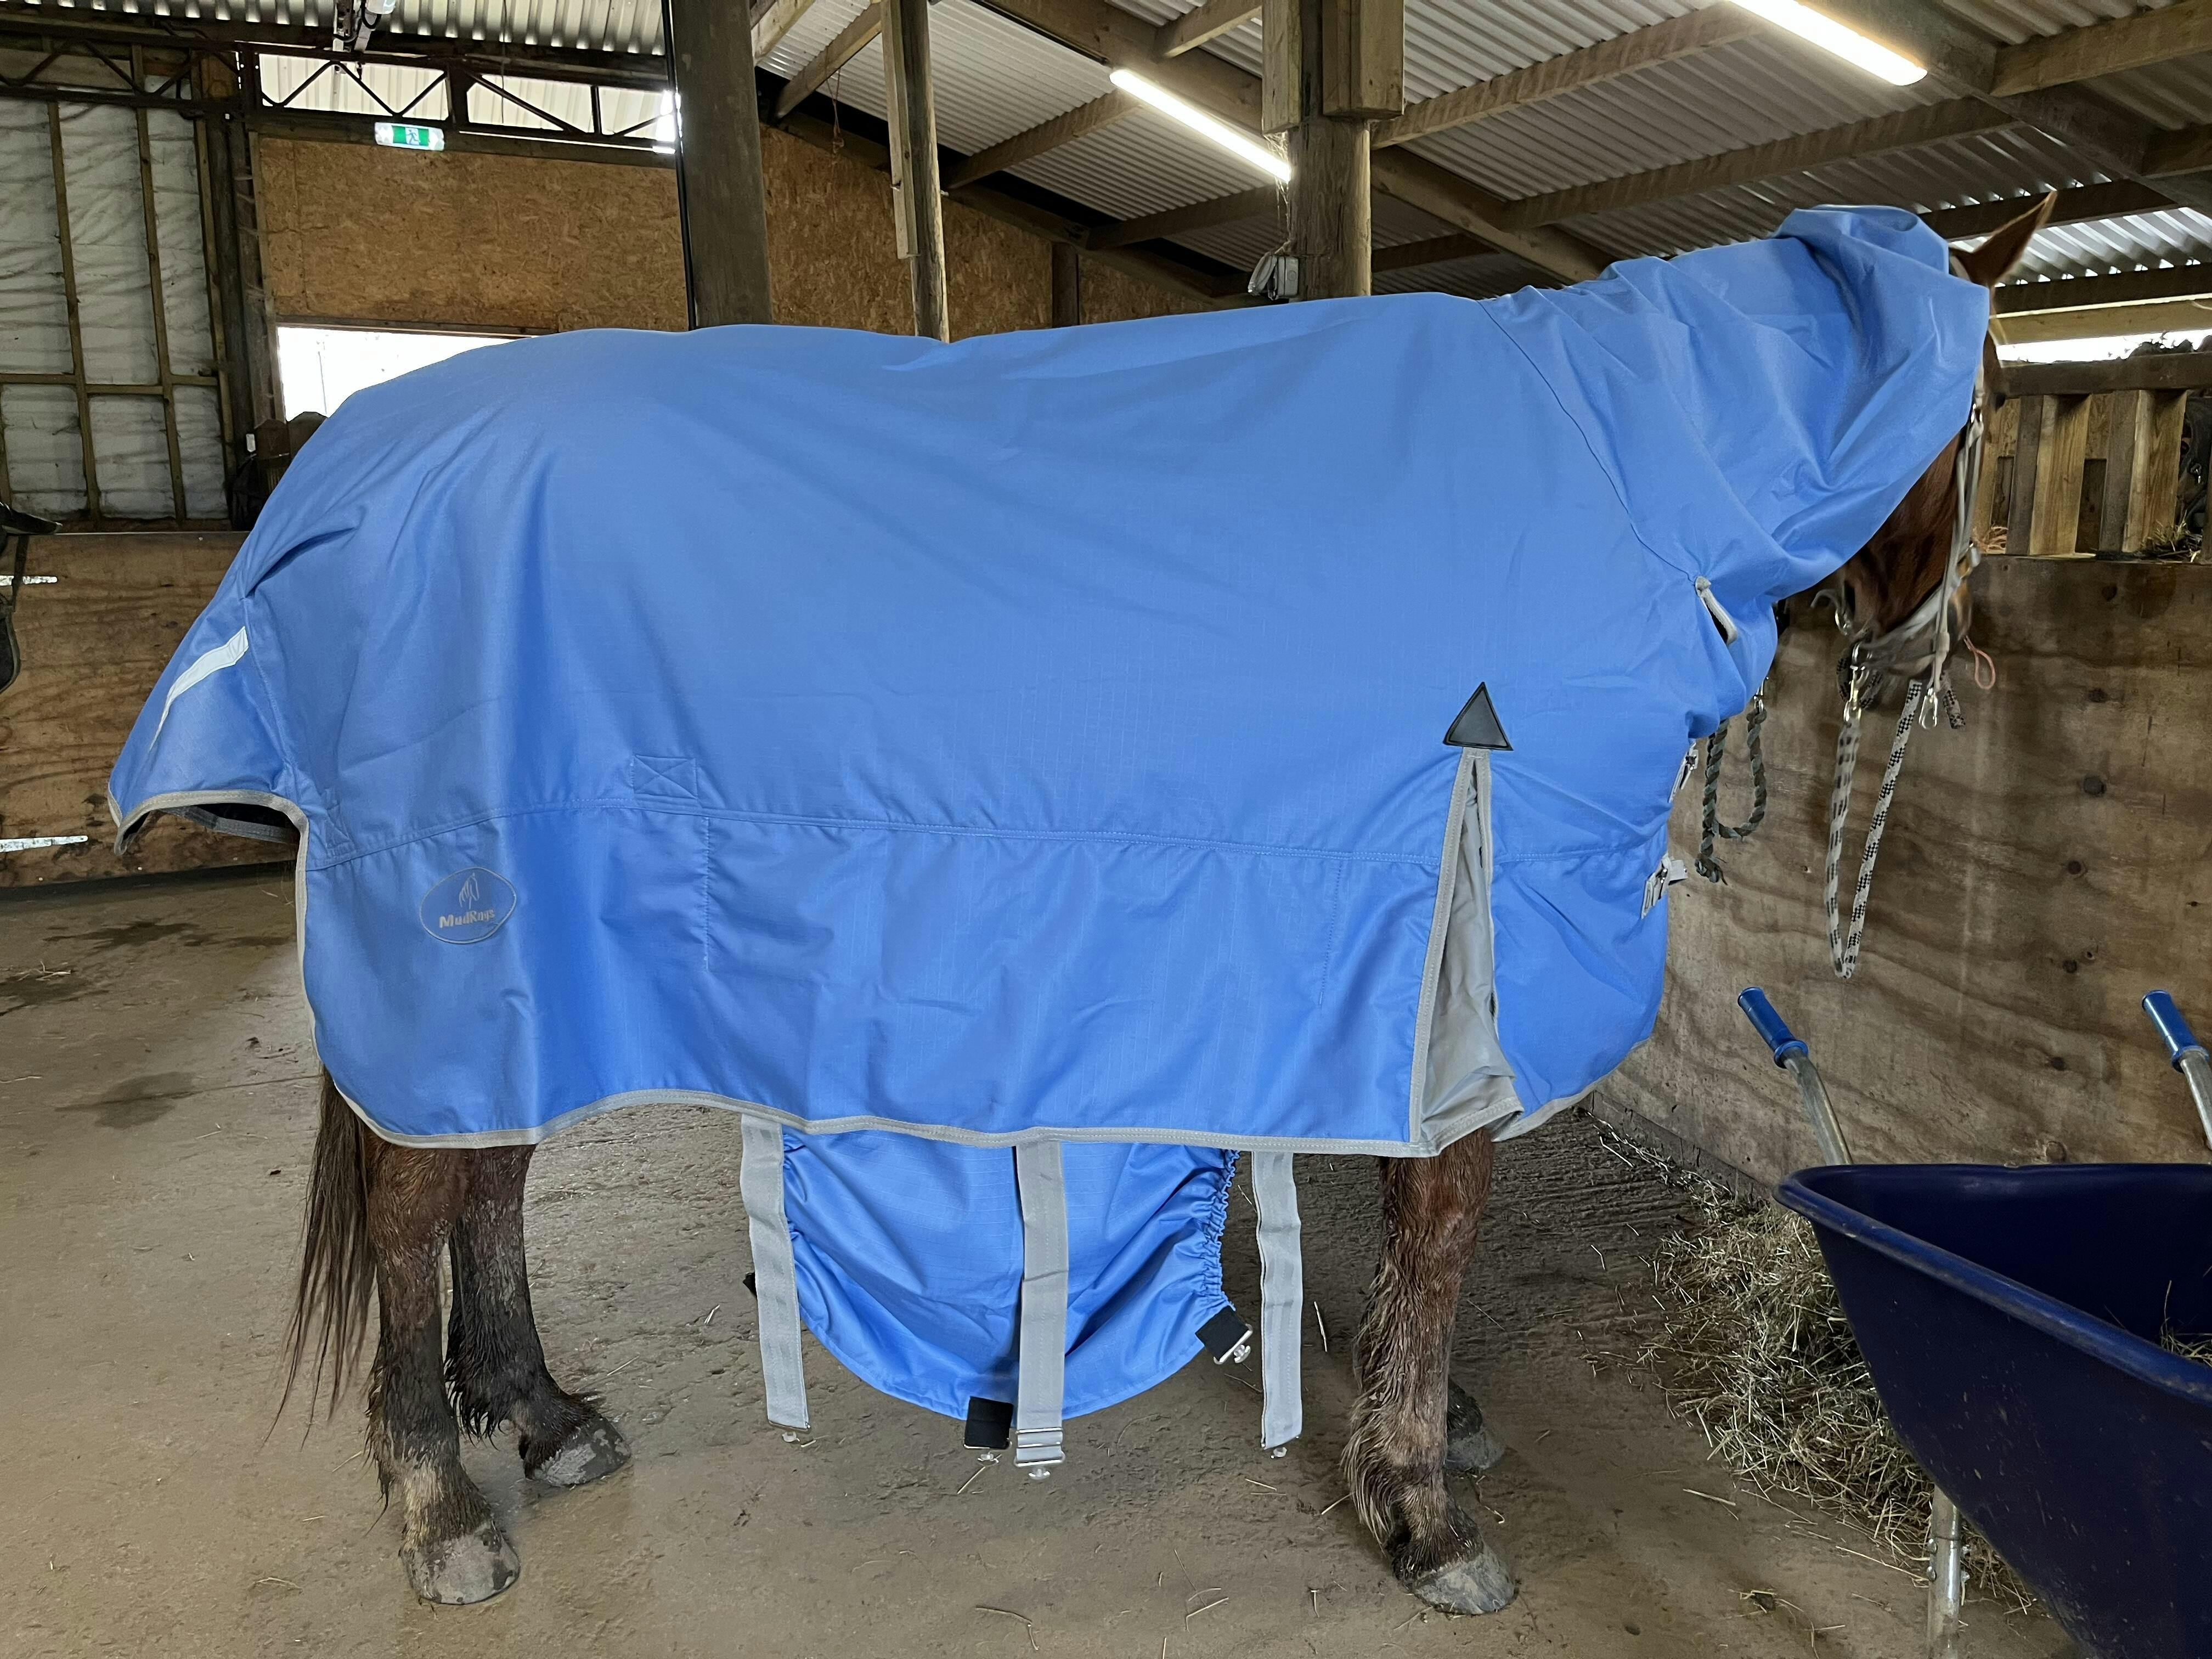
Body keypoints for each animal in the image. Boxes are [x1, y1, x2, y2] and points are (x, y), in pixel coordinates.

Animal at [173, 196, 2047, 1611]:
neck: (1612, 479)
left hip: (531, 954)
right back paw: (440, 1504)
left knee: (482, 1175)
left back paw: (543, 1413)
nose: (1938, 653)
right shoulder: (1456, 925)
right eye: (1998, 399)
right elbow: (1438, 1225)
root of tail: (350, 464)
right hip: (455, 917)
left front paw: (1416, 1417)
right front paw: (1422, 1504)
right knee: (419, 1201)